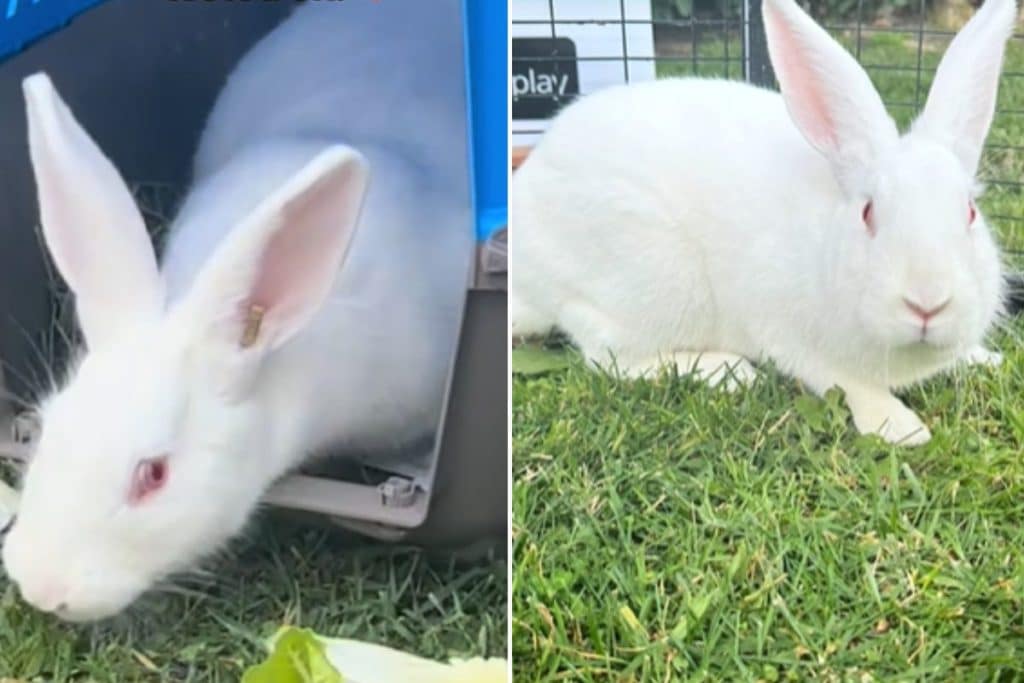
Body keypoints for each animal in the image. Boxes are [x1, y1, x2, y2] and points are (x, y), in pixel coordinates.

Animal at [511, 0, 1017, 446]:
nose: (928, 303)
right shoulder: (789, 336)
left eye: (970, 212)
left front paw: (988, 359)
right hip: (654, 285)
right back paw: (727, 371)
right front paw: (900, 427)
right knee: (603, 351)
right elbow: (848, 383)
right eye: (868, 212)